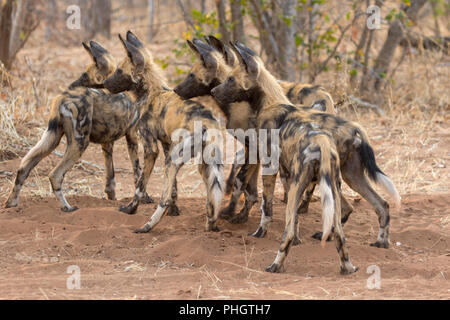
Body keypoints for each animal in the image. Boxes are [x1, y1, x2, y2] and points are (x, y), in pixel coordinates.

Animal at [3, 41, 155, 211]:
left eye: (84, 76)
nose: (72, 85)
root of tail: (62, 97)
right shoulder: (132, 136)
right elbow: (138, 172)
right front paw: (144, 198)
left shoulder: (107, 143)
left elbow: (110, 180)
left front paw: (112, 200)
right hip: (80, 142)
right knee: (55, 175)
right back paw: (67, 208)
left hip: (52, 139)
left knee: (24, 168)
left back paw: (11, 203)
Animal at [103, 31, 224, 232]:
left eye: (119, 71)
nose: (104, 83)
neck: (150, 92)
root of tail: (207, 122)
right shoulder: (167, 145)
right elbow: (174, 188)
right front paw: (174, 211)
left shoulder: (151, 149)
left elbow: (140, 186)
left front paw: (130, 209)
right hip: (206, 164)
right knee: (213, 196)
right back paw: (210, 226)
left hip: (175, 159)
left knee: (163, 198)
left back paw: (146, 227)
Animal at [211, 40, 400, 250]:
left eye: (230, 79)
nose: (213, 91)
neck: (270, 103)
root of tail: (355, 129)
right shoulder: (285, 171)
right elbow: (291, 214)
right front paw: (295, 240)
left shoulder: (270, 167)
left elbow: (266, 207)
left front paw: (261, 232)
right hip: (349, 176)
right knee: (378, 205)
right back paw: (380, 242)